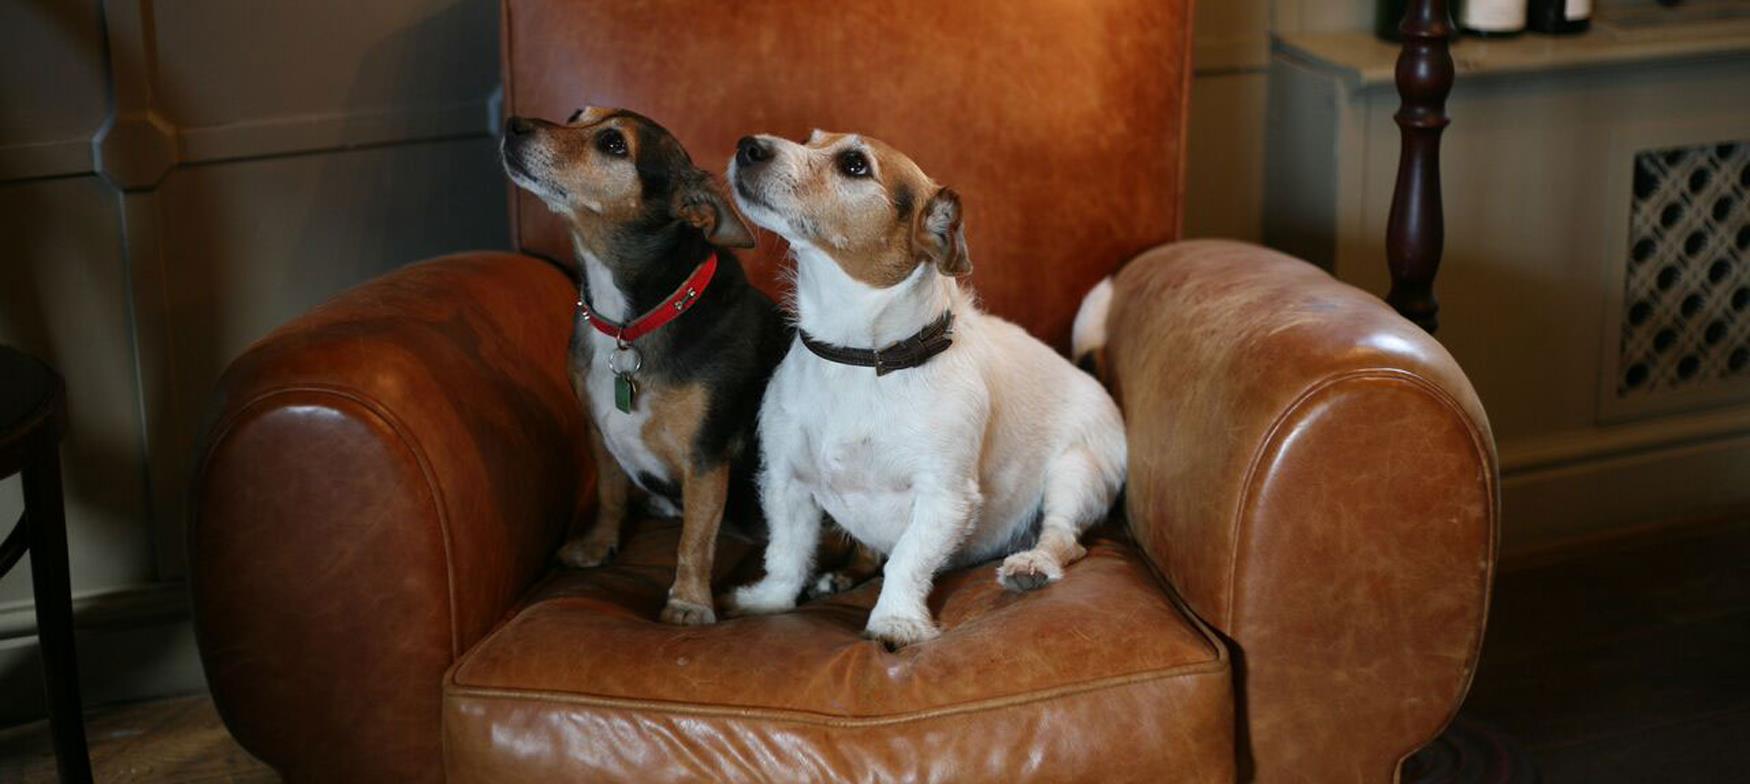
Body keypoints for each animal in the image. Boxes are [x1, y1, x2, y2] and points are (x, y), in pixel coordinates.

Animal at [500, 108, 787, 623]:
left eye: (614, 144)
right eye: (575, 116)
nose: (513, 124)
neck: (628, 322)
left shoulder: (706, 457)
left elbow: (695, 539)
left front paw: (688, 603)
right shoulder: (597, 429)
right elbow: (610, 493)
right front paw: (597, 546)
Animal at [728, 131, 1127, 647]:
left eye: (854, 165)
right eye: (809, 140)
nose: (748, 145)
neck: (860, 359)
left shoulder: (945, 498)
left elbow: (907, 560)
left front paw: (896, 619)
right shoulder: (786, 481)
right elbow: (786, 553)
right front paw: (769, 601)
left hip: (1076, 473)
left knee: (1064, 538)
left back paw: (1033, 564)